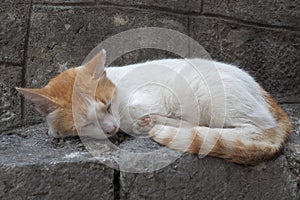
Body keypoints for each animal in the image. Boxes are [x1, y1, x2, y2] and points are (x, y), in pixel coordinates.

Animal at [17, 49, 292, 165]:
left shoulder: (151, 99)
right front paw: (55, 130)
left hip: (209, 94)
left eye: (108, 106)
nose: (110, 128)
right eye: (86, 123)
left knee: (256, 131)